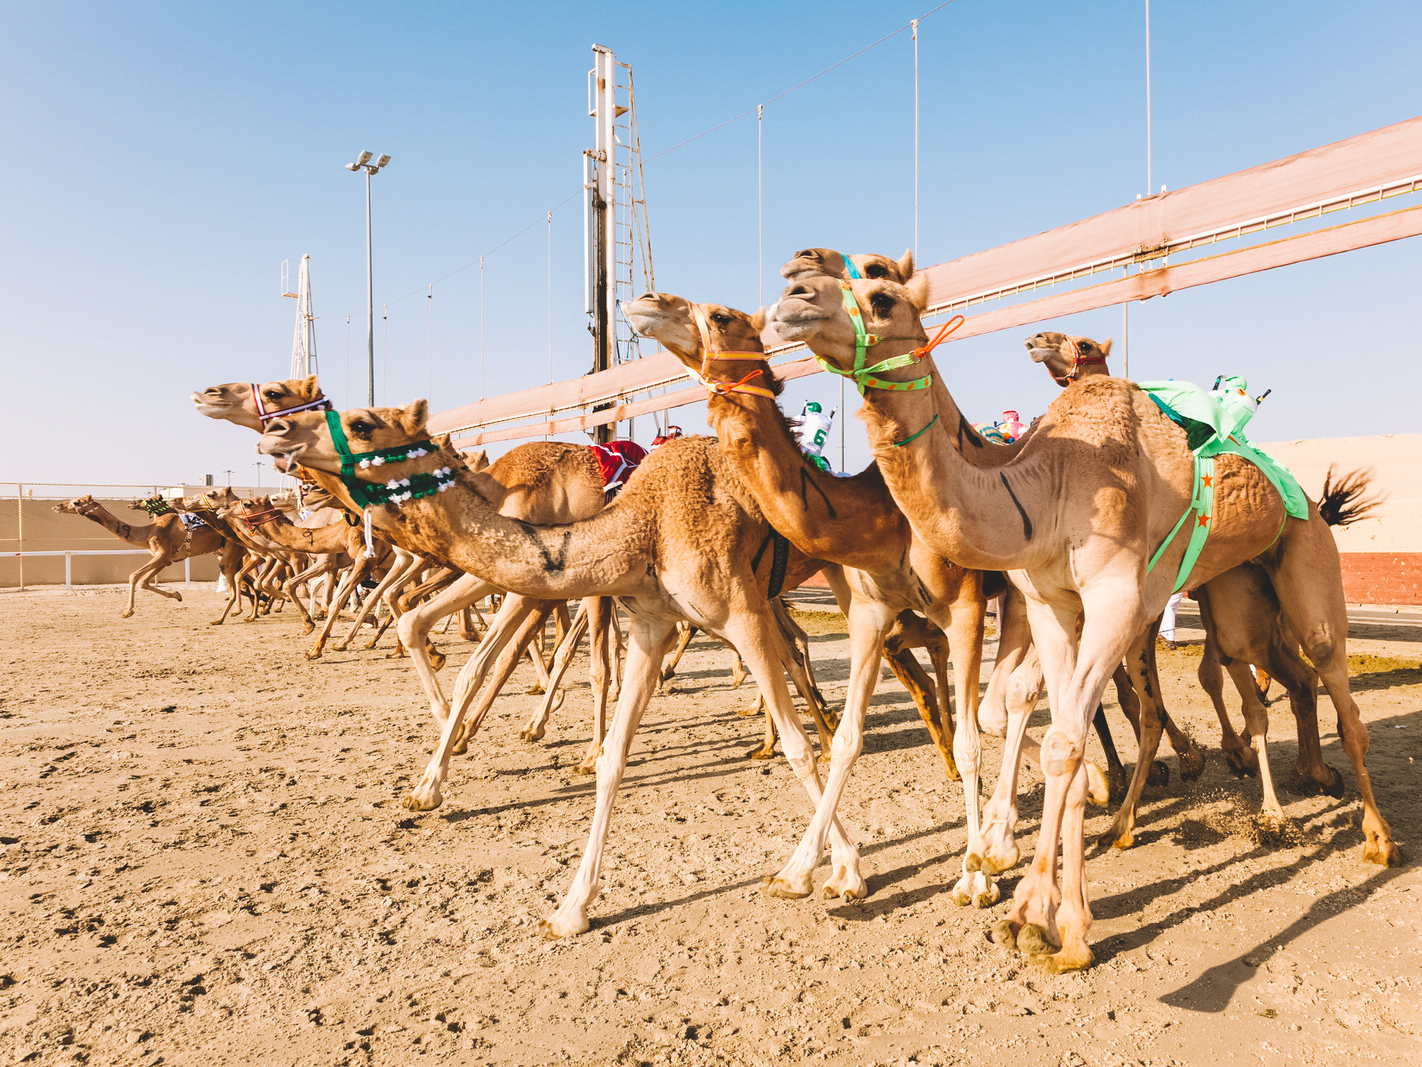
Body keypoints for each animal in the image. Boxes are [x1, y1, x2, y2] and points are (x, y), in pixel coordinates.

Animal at [53, 495, 233, 617]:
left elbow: (133, 576)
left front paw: (128, 611)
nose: (57, 505)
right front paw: (177, 595)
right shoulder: (166, 560)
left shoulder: (162, 554)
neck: (149, 532)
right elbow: (143, 582)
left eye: (77, 502)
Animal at [256, 405, 853, 938]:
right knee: (795, 651)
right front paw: (569, 907)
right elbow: (605, 743)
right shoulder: (634, 613)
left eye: (362, 422)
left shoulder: (723, 608)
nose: (276, 434)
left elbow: (515, 661)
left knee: (801, 661)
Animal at [770, 269, 1403, 971]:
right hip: (1239, 596)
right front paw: (1052, 914)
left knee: (1338, 689)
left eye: (880, 293)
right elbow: (1057, 740)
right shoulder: (1052, 605)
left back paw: (1375, 836)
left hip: (1308, 561)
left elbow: (1063, 740)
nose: (792, 296)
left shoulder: (1115, 600)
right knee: (1276, 675)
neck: (1045, 489)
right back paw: (1297, 789)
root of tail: (1314, 500)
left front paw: (1037, 915)